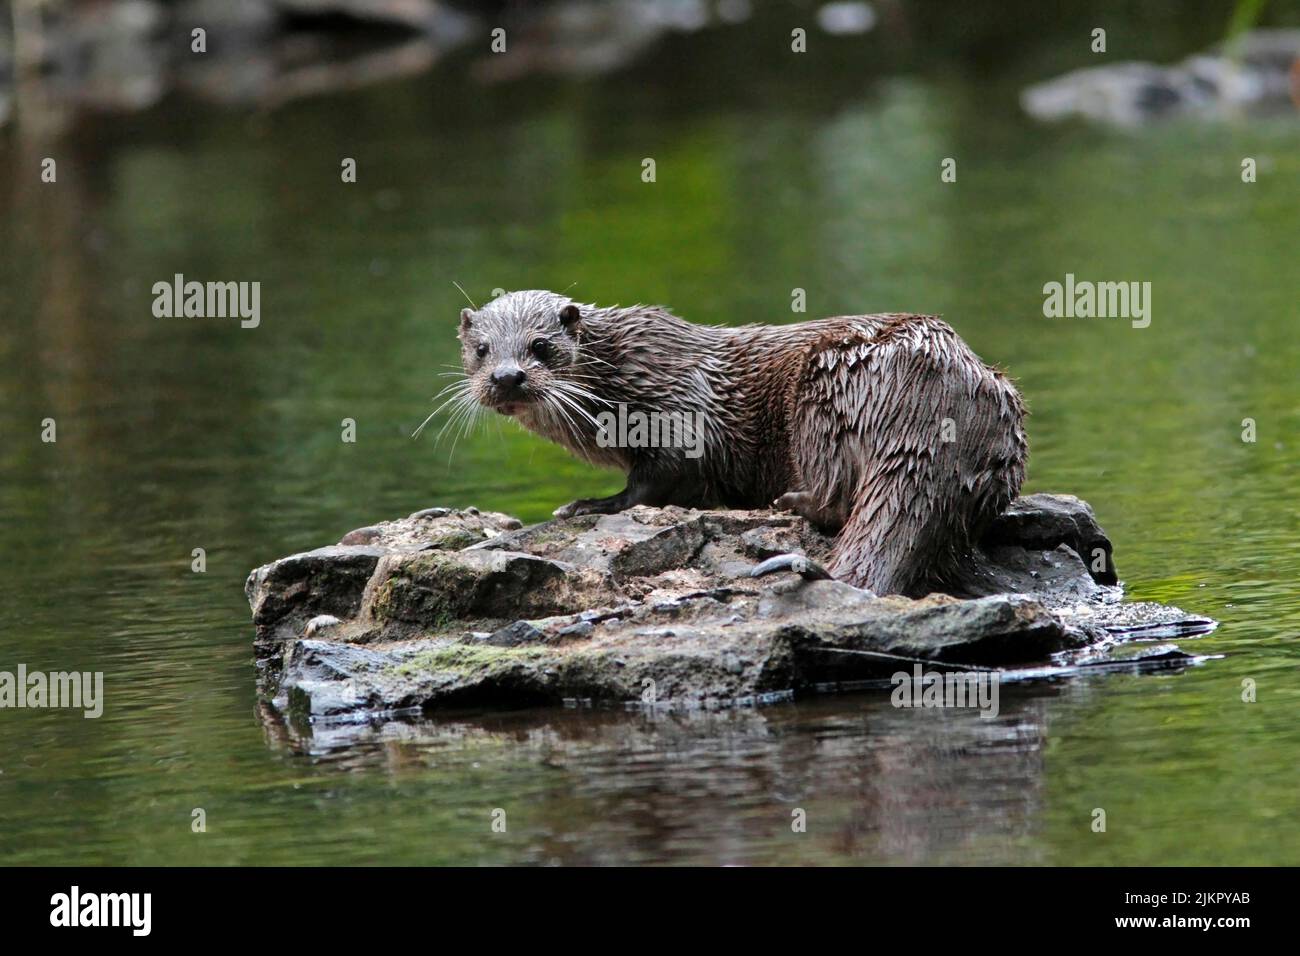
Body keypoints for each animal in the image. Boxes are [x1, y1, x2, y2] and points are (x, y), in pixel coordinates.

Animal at [452, 290, 1029, 598]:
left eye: (541, 346)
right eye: (482, 349)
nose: (506, 377)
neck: (623, 370)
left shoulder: (678, 408)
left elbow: (657, 480)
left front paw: (590, 504)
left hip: (825, 389)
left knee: (837, 495)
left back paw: (788, 502)